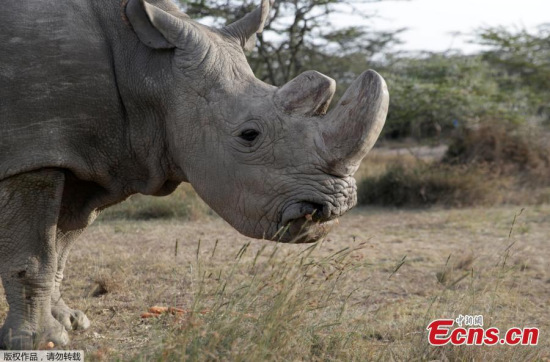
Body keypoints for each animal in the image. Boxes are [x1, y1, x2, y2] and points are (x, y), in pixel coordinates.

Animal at [0, 0, 388, 350]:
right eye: (249, 135)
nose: (335, 206)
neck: (149, 66)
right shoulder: (33, 152)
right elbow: (34, 257)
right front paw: (39, 342)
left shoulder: (82, 157)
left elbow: (60, 248)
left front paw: (69, 322)